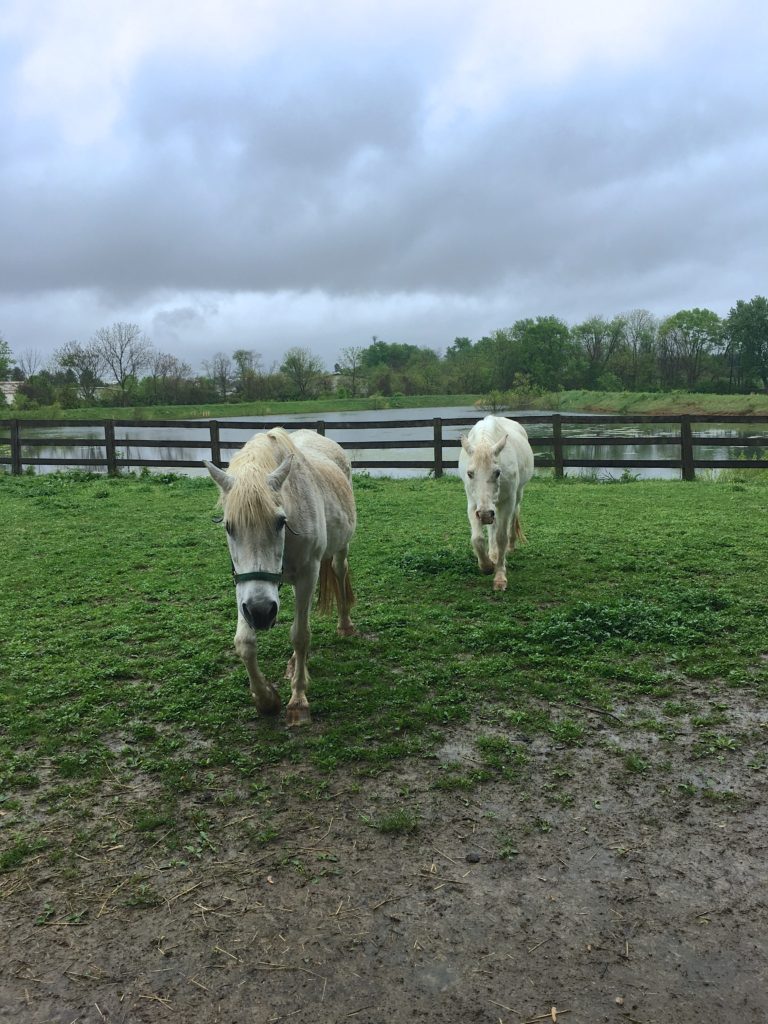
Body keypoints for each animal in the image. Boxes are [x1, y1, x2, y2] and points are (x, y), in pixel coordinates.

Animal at [207, 428, 358, 724]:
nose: (261, 613)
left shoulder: (308, 574)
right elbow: (244, 643)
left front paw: (298, 701)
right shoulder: (243, 586)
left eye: (280, 522)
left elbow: (300, 635)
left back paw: (344, 625)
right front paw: (266, 700)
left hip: (339, 550)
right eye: (229, 527)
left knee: (339, 570)